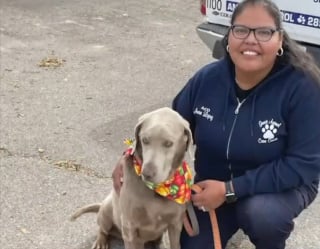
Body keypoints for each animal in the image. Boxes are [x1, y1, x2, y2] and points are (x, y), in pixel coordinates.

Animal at [71, 108, 194, 249]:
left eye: (168, 143)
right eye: (145, 140)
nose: (147, 173)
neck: (160, 189)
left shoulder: (175, 224)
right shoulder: (130, 228)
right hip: (107, 210)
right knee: (102, 229)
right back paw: (101, 241)